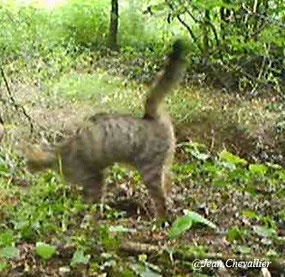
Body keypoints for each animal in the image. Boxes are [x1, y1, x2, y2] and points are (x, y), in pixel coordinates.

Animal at [22, 40, 186, 218]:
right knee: (168, 184)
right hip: (164, 164)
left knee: (161, 200)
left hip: (150, 170)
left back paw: (159, 220)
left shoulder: (95, 178)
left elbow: (94, 203)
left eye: (27, 160)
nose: (25, 169)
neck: (59, 154)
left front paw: (89, 217)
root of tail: (149, 116)